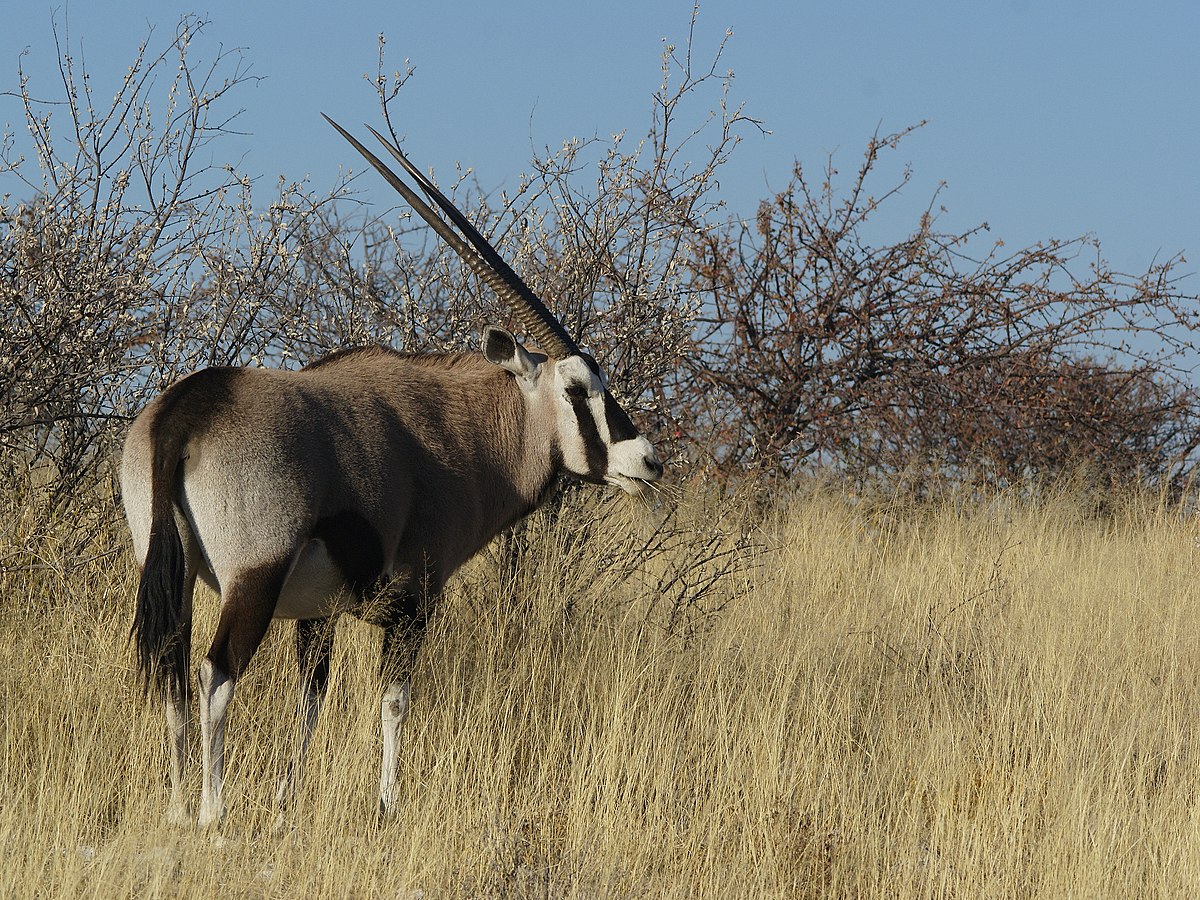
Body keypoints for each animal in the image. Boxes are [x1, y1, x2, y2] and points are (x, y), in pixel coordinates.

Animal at [121, 116, 667, 830]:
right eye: (578, 389)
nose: (647, 459)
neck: (456, 431)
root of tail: (188, 410)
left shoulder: (316, 614)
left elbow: (311, 699)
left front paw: (290, 799)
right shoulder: (414, 600)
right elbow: (394, 701)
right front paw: (387, 805)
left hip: (174, 573)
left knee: (174, 672)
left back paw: (181, 812)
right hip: (253, 577)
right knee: (217, 673)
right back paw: (213, 815)